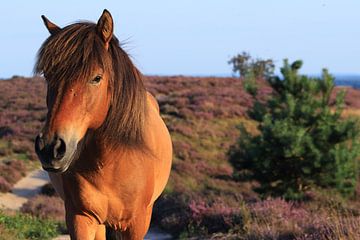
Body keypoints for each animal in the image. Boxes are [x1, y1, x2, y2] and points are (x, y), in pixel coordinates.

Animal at [34, 8, 173, 238]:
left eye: (97, 78)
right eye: (47, 75)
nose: (50, 148)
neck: (111, 163)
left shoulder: (137, 224)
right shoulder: (81, 218)